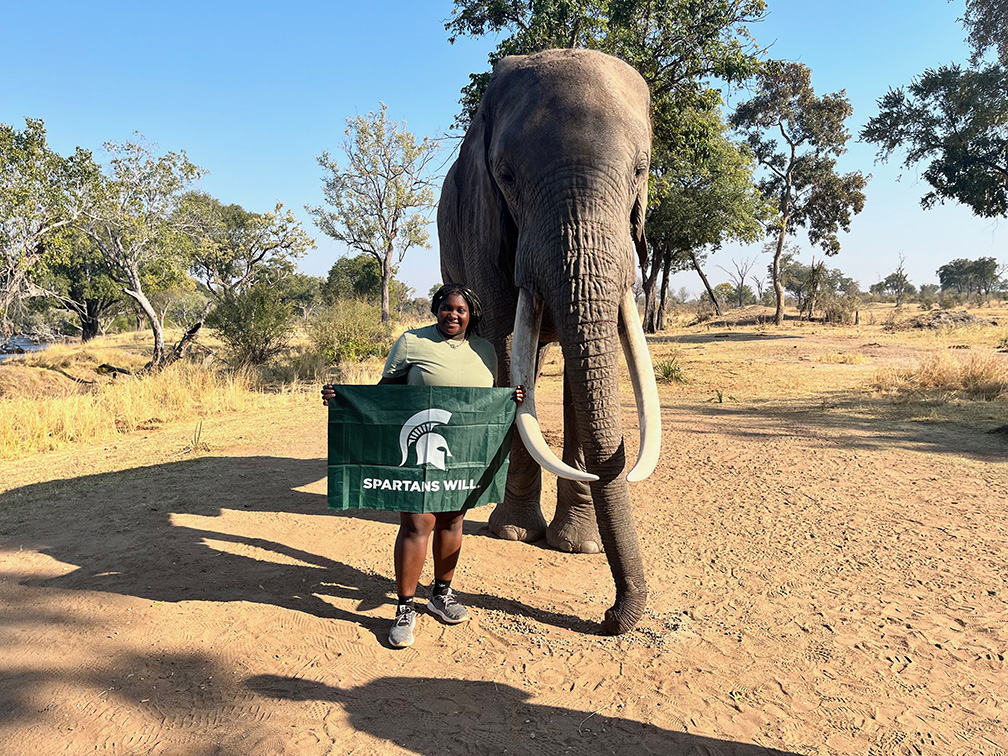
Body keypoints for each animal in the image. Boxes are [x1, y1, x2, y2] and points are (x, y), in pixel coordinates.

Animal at [439, 48, 661, 641]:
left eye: (641, 170)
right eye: (506, 176)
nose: (609, 616)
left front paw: (578, 546)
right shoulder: (483, 219)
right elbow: (501, 343)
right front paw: (515, 533)